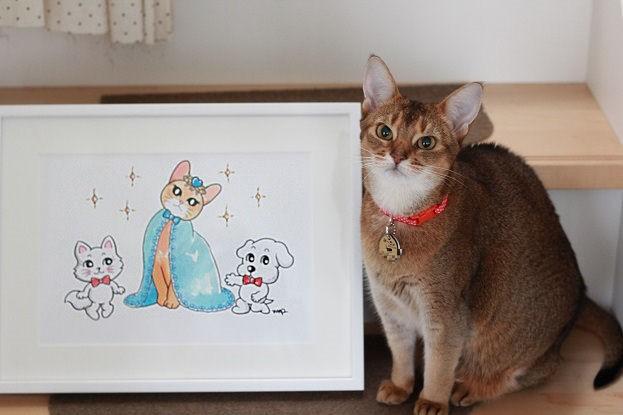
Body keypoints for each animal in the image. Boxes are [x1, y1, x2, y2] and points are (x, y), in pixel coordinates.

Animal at [124, 160, 235, 312]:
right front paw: (161, 300)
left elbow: (172, 287)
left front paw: (171, 303)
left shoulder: (174, 268)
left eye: (192, 202)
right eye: (176, 191)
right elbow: (160, 284)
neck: (171, 220)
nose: (181, 202)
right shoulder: (155, 264)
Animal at [360, 56, 623, 415]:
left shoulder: (447, 314)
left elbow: (439, 363)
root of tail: (581, 296)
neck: (400, 216)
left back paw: (472, 387)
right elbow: (400, 352)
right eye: (384, 131)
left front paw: (432, 400)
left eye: (426, 142)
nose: (397, 156)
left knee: (536, 370)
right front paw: (401, 385)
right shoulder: (389, 305)